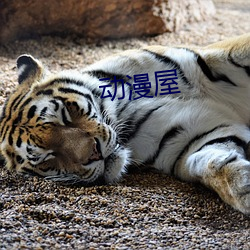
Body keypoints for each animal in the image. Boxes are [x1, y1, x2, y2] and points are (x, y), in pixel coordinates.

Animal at [0, 32, 250, 213]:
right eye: (48, 157)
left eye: (65, 116)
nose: (95, 153)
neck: (123, 109)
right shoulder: (187, 138)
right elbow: (211, 162)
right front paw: (243, 188)